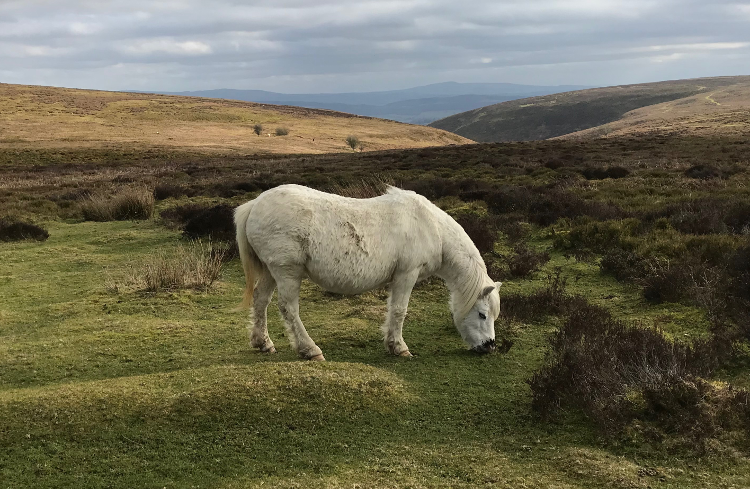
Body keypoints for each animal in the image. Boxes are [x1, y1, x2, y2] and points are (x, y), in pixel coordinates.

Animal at [235, 183, 506, 358]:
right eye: (482, 315)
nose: (489, 346)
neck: (431, 227)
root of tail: (255, 205)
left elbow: (392, 310)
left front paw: (391, 343)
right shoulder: (407, 274)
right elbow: (399, 311)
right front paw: (399, 348)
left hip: (270, 271)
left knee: (261, 301)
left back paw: (263, 343)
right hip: (286, 271)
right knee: (288, 308)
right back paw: (309, 350)